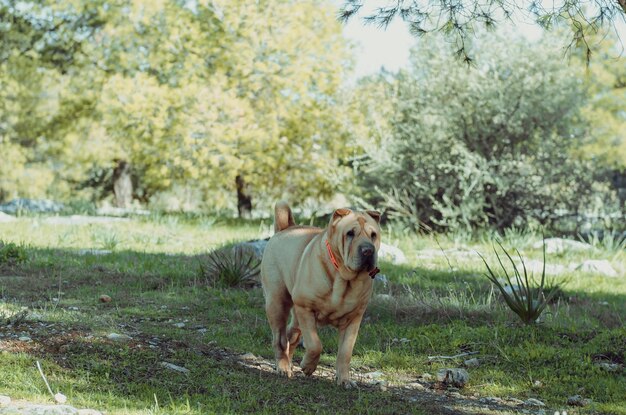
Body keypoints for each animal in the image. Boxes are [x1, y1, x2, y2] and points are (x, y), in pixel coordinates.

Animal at [260, 202, 380, 390]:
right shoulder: (305, 308)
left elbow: (345, 352)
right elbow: (315, 344)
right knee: (280, 339)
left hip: (295, 317)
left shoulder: (353, 320)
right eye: (350, 233)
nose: (368, 250)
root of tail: (286, 228)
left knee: (291, 336)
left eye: (373, 235)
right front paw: (308, 366)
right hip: (277, 303)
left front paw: (344, 380)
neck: (344, 279)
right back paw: (283, 367)